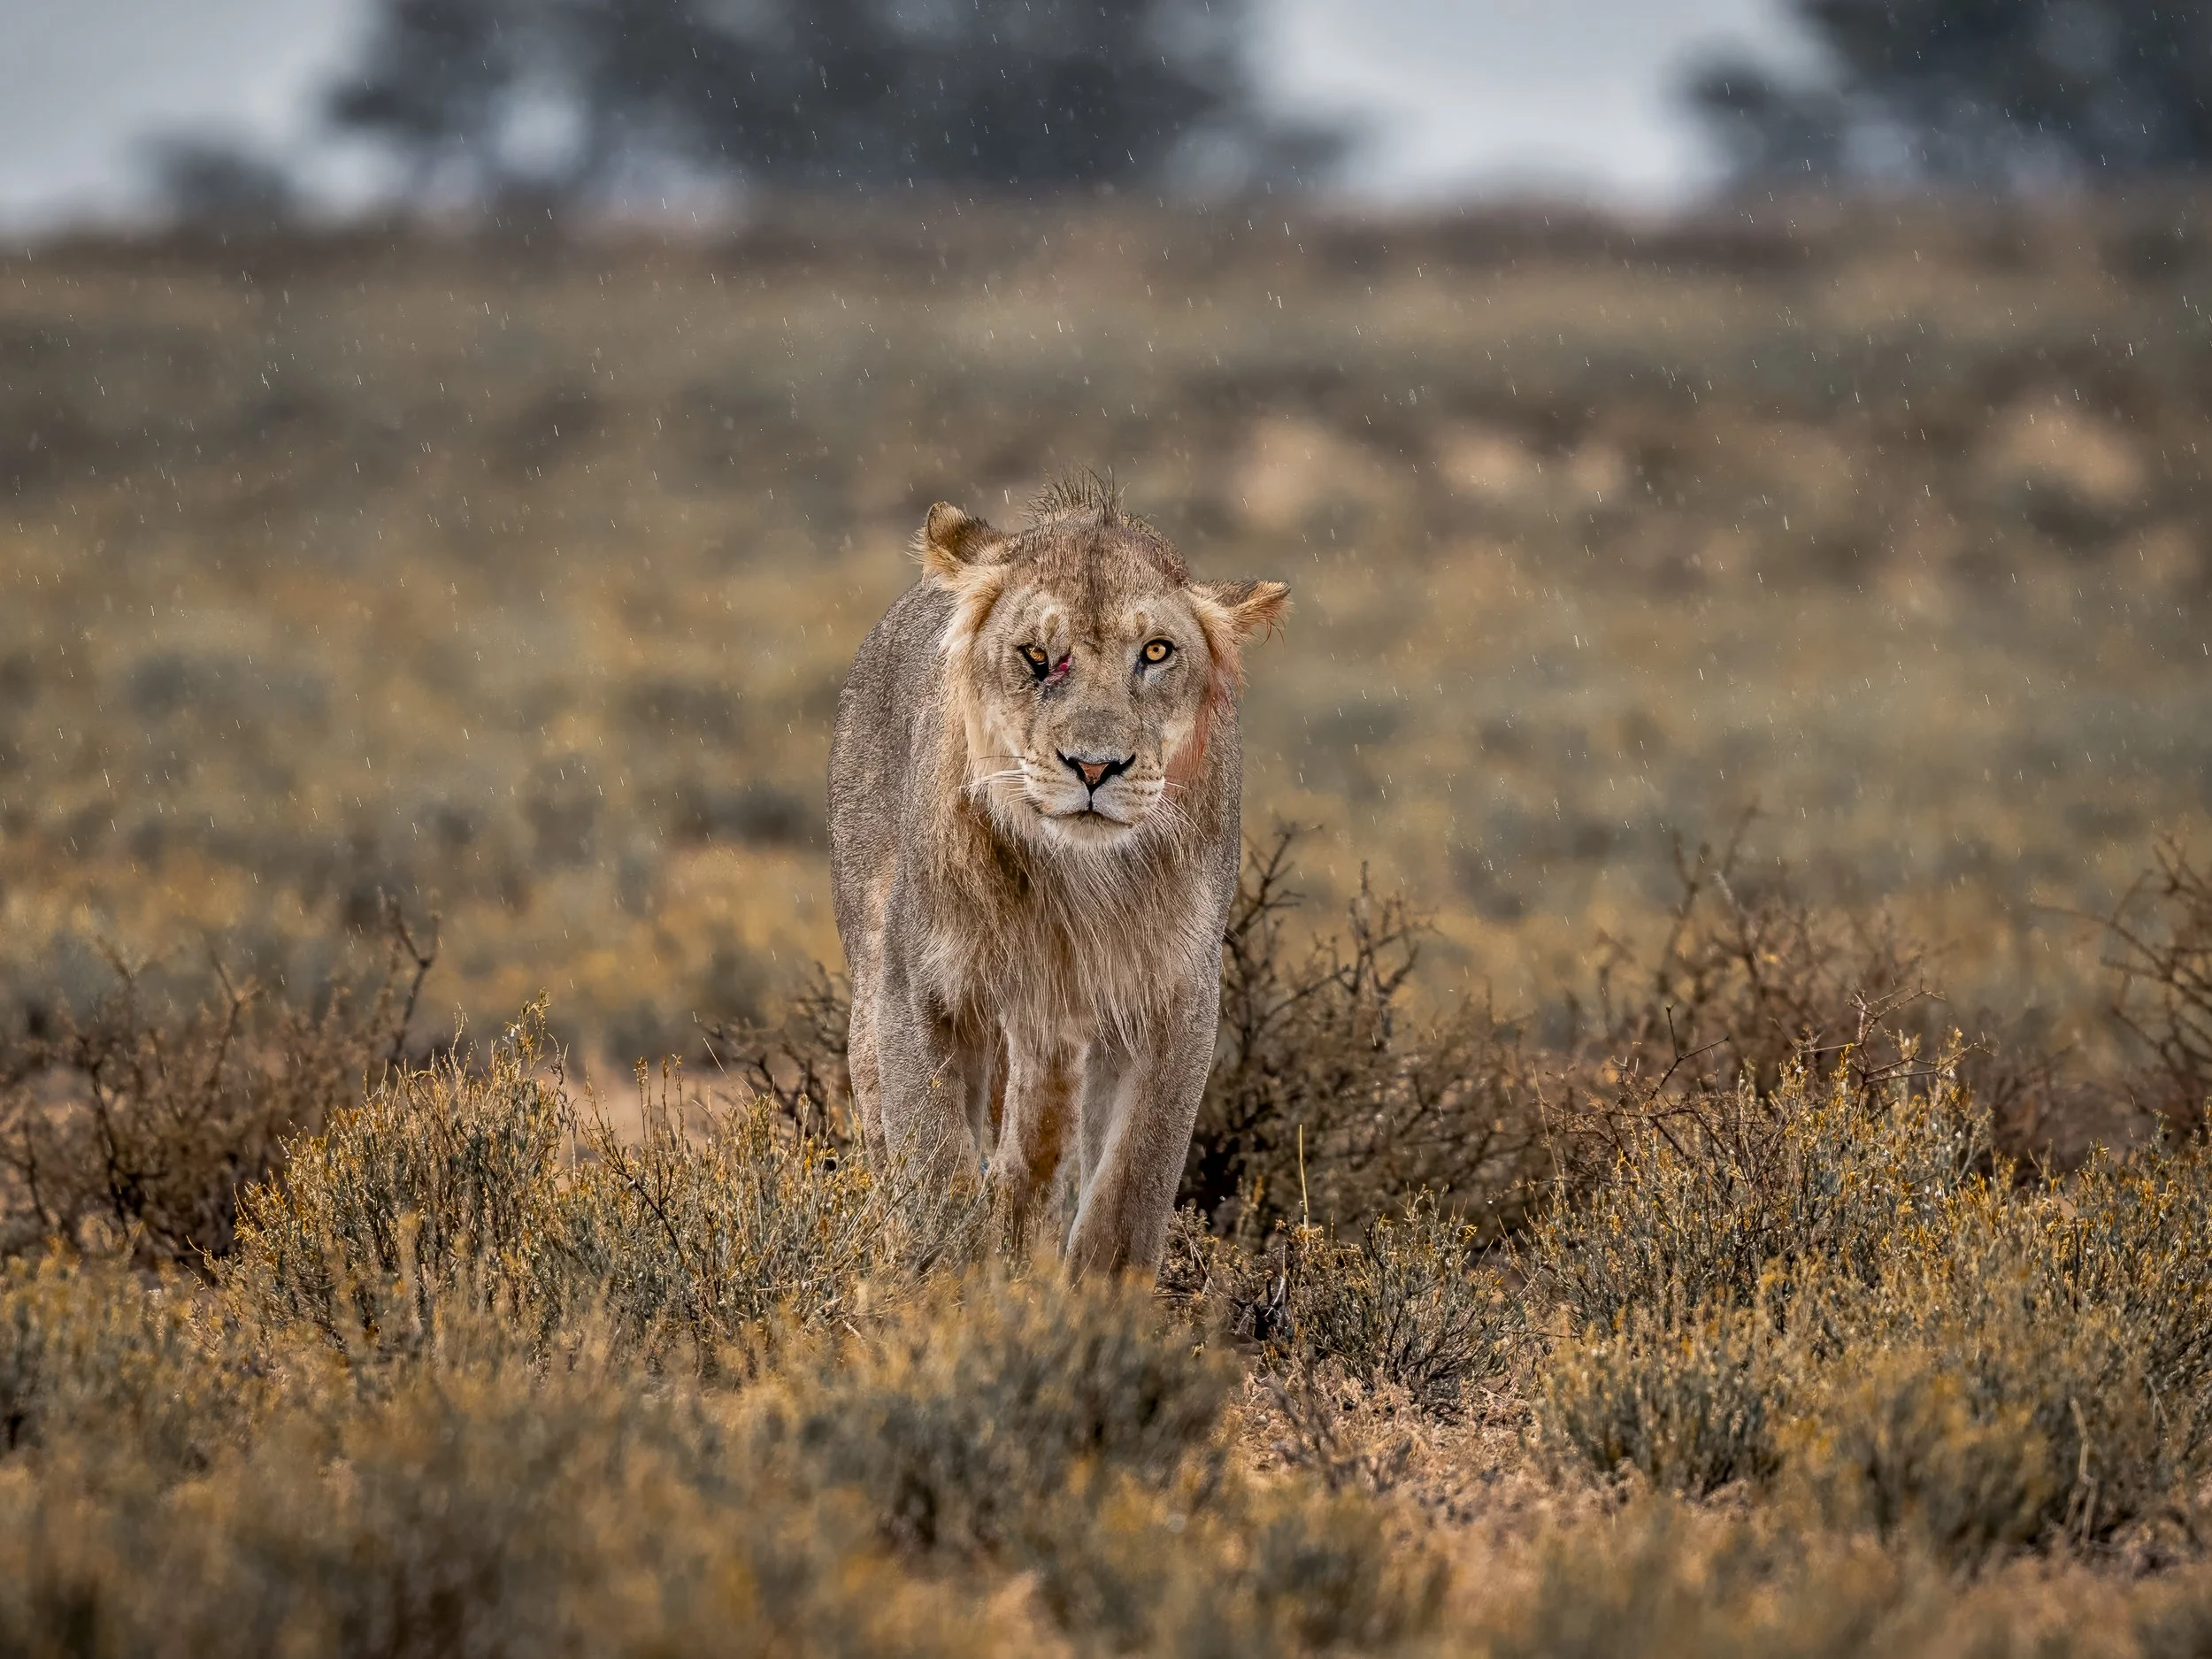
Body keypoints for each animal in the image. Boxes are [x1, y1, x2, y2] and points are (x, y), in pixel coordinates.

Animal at [828, 477, 1288, 1276]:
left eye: (1156, 651)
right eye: (1037, 655)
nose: (1095, 767)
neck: (1074, 878)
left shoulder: (1175, 1000)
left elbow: (1129, 1189)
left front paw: (1097, 1299)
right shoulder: (919, 985)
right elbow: (935, 1168)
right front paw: (945, 1285)